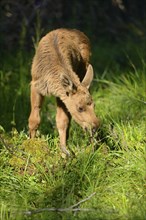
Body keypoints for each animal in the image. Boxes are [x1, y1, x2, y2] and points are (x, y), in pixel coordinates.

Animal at [28, 28, 100, 156]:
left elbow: (62, 121)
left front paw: (64, 152)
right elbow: (34, 120)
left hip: (84, 70)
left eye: (94, 105)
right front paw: (31, 147)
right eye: (80, 108)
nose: (95, 126)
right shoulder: (35, 85)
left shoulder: (61, 95)